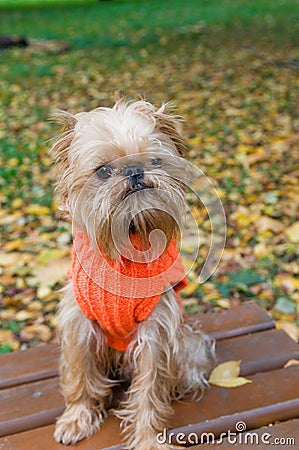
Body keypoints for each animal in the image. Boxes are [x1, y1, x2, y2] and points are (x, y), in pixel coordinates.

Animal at [51, 99, 216, 450]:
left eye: (154, 160)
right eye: (103, 171)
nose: (135, 171)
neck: (126, 247)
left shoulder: (156, 332)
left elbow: (150, 389)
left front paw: (148, 438)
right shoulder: (79, 324)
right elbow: (80, 375)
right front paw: (78, 417)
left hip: (191, 343)